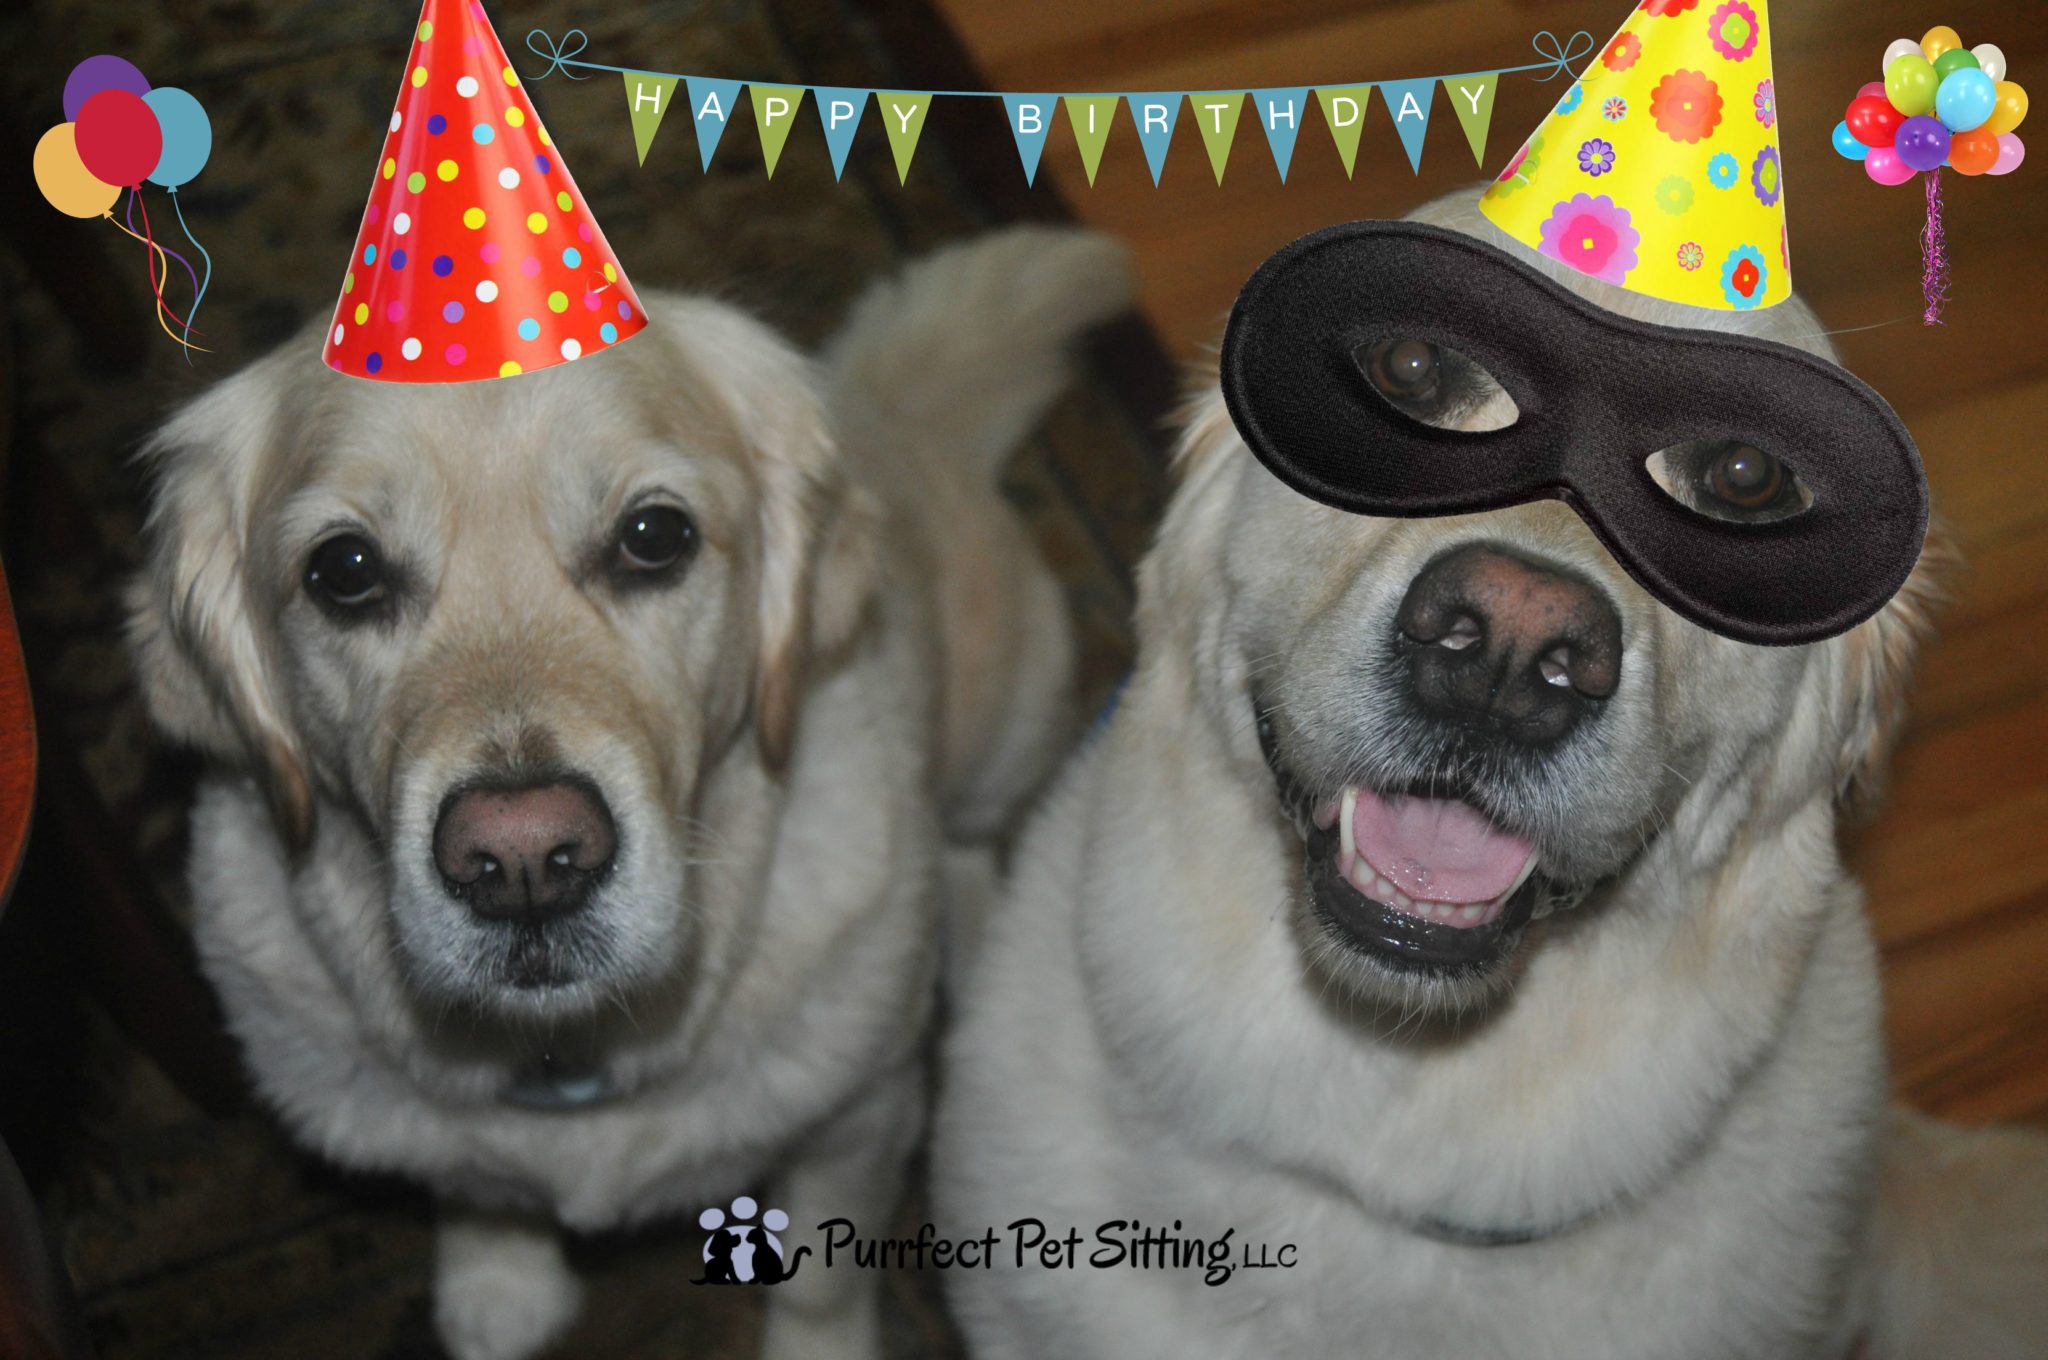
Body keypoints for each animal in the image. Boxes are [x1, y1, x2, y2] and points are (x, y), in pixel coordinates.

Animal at [123, 225, 1138, 1360]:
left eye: (655, 536)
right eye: (344, 570)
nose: (524, 858)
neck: (574, 1051)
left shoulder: (861, 1118)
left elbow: (823, 1278)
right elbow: (476, 1183)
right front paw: (497, 1282)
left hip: (1004, 707)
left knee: (968, 841)